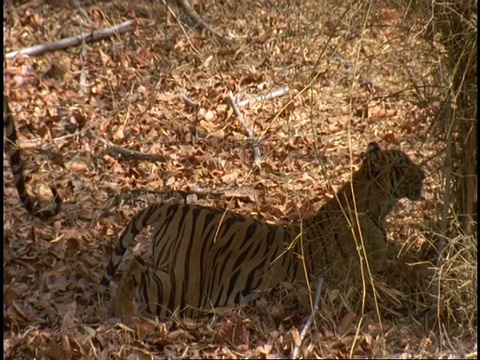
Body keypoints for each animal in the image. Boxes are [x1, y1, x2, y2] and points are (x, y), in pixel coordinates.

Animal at [94, 142, 424, 320]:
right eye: (404, 164)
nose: (424, 173)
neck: (378, 204)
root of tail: (176, 207)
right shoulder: (378, 267)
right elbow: (411, 267)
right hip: (185, 287)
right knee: (135, 270)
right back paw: (121, 314)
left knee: (135, 267)